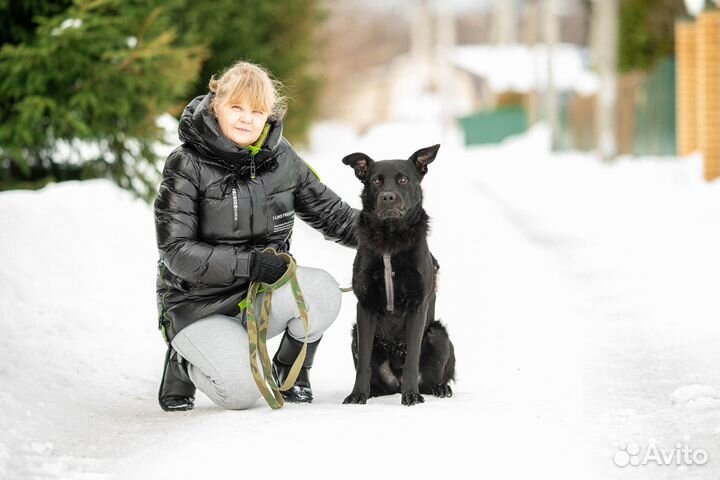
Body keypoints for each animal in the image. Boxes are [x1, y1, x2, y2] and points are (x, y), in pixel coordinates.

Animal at [342, 144, 456, 406]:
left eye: (403, 179)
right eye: (376, 180)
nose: (388, 197)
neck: (390, 240)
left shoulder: (417, 305)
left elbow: (412, 358)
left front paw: (411, 395)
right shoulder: (365, 306)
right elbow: (363, 364)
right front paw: (358, 394)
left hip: (438, 334)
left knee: (433, 379)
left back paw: (439, 388)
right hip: (354, 334)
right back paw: (373, 391)